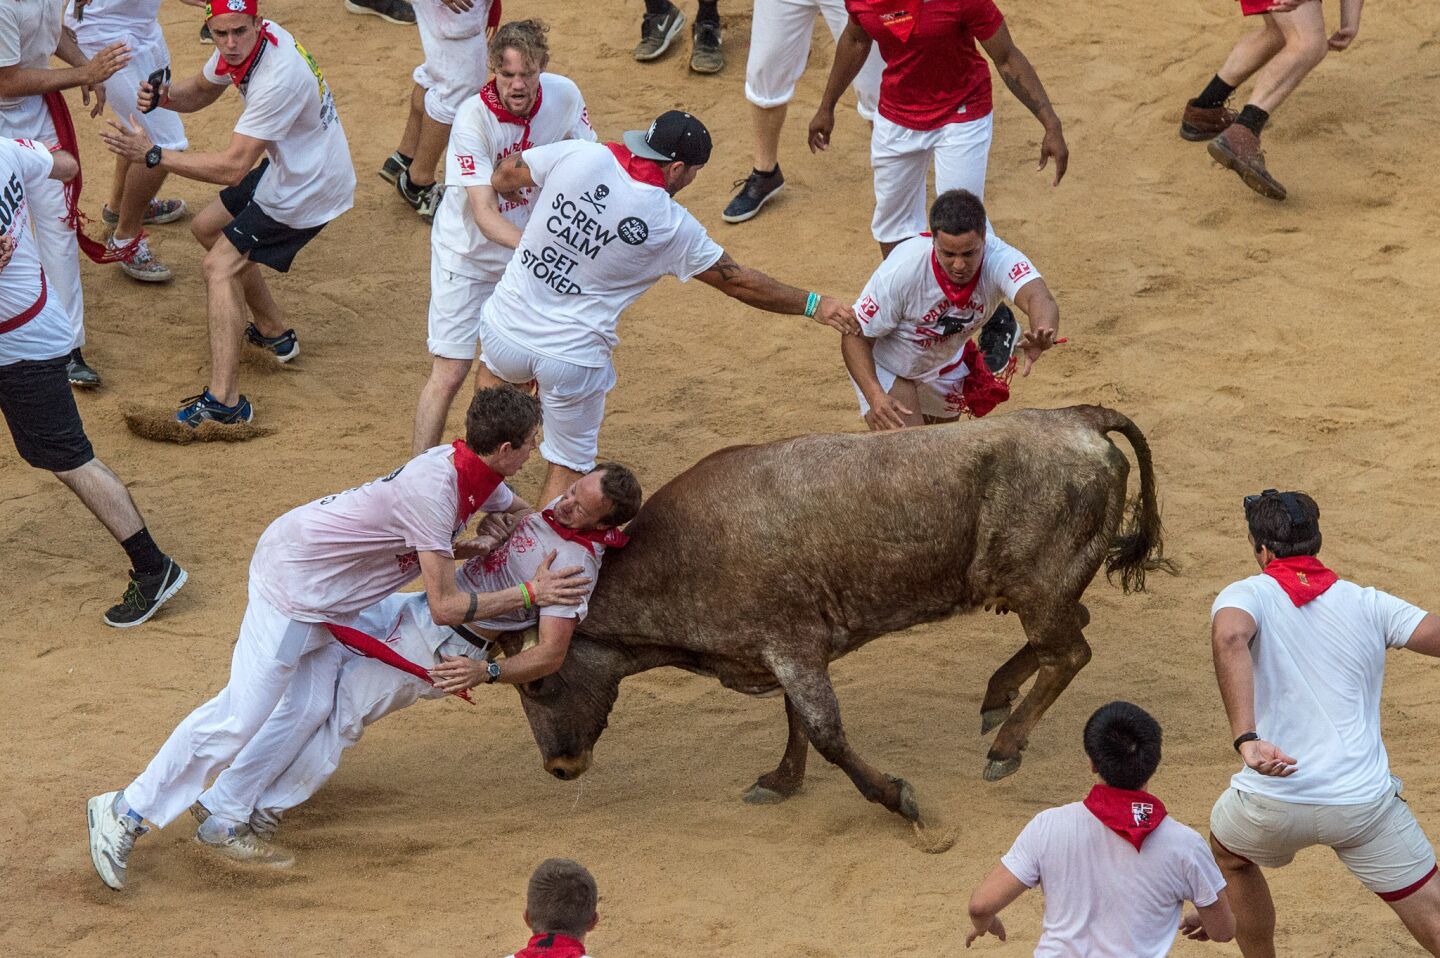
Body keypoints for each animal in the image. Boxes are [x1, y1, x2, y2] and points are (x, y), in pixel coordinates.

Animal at [512, 406, 1163, 824]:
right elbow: (796, 721)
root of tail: (1078, 418)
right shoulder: (787, 653)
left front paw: (896, 799)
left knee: (1069, 652)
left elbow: (824, 730)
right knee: (1074, 628)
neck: (681, 553)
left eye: (539, 683)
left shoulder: (793, 648)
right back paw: (996, 700)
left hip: (1038, 588)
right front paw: (781, 782)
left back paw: (1005, 746)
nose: (559, 767)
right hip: (1042, 588)